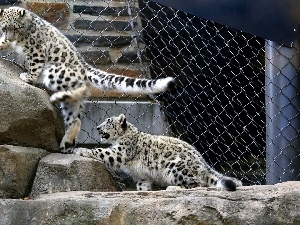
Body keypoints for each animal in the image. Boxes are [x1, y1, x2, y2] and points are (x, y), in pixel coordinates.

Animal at [0, 7, 176, 152]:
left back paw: (56, 97)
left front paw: (28, 76)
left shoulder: (36, 51)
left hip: (55, 71)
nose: (10, 38)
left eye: (16, 27)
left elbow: (35, 66)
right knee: (75, 118)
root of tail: (84, 67)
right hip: (70, 104)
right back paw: (66, 142)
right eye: (4, 28)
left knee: (81, 88)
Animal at [72, 114, 241, 192]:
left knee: (198, 183)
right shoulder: (141, 175)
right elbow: (143, 184)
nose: (97, 128)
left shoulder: (121, 152)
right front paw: (143, 191)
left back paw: (174, 188)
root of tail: (203, 163)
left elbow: (101, 152)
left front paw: (80, 150)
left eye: (108, 121)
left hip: (176, 166)